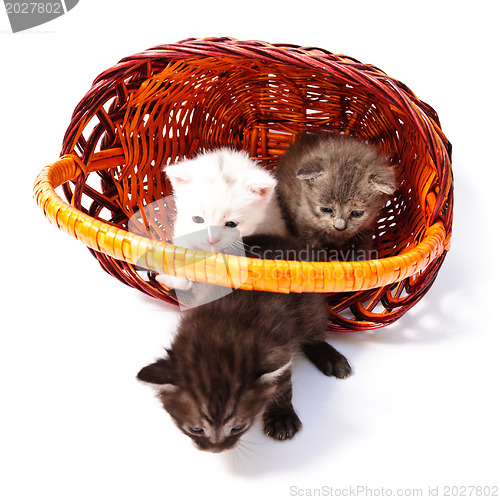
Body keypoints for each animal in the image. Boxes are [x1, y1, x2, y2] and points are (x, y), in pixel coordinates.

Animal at [137, 234, 352, 454]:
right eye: (195, 429)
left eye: (238, 428)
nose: (216, 449)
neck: (221, 330)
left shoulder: (279, 346)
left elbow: (282, 383)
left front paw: (281, 416)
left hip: (309, 304)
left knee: (313, 328)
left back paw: (330, 358)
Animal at [276, 131, 396, 260]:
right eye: (326, 209)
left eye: (357, 213)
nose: (339, 227)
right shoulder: (306, 229)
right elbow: (314, 252)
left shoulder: (366, 228)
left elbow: (363, 247)